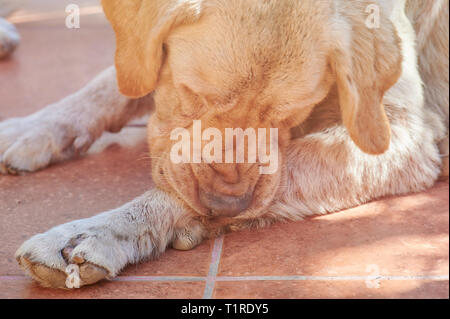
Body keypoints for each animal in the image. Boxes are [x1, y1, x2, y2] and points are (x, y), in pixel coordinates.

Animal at [0, 0, 446, 290]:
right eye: (194, 94)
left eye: (288, 115)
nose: (224, 205)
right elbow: (115, 81)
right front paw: (33, 126)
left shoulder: (403, 137)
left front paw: (99, 231)